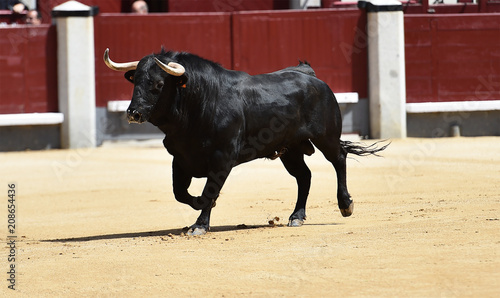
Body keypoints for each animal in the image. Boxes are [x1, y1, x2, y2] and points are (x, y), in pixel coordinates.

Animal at [104, 48, 386, 235]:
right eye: (136, 82)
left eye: (159, 84)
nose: (133, 113)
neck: (200, 102)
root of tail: (311, 75)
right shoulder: (180, 158)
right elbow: (181, 192)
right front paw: (198, 208)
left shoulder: (222, 158)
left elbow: (209, 190)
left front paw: (199, 225)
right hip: (291, 149)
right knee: (304, 176)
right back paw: (296, 216)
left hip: (326, 136)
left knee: (339, 159)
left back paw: (345, 204)